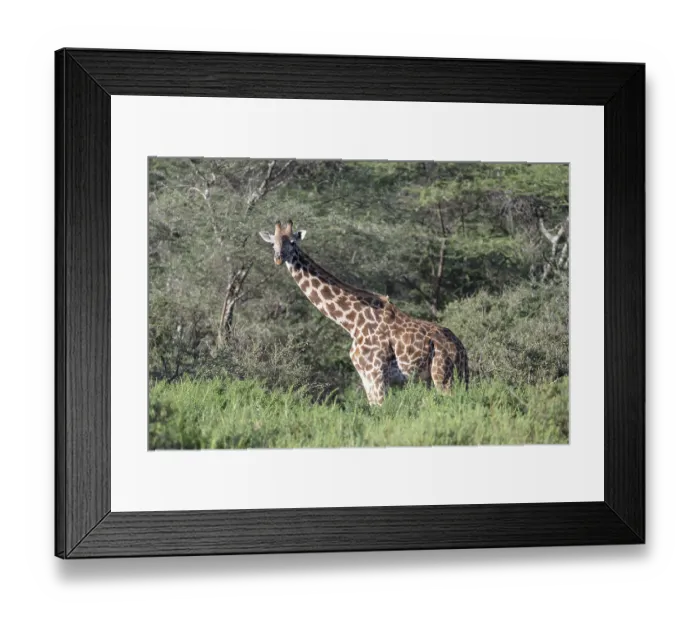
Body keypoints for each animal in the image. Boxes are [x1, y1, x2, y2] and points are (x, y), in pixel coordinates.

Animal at [259, 220, 469, 405]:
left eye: (293, 242)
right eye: (273, 243)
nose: (278, 258)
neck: (351, 322)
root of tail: (460, 348)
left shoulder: (376, 373)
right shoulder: (366, 376)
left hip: (442, 375)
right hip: (451, 376)